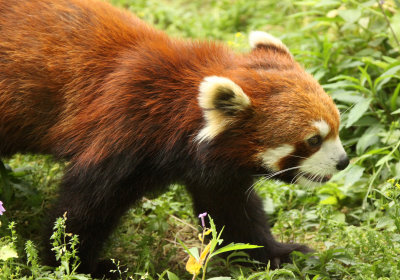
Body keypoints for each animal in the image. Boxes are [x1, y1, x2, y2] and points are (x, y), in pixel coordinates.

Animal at [0, 0, 346, 276]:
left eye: (337, 127)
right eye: (313, 140)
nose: (343, 162)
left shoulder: (214, 168)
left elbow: (233, 213)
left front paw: (277, 255)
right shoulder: (122, 131)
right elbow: (82, 209)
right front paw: (75, 265)